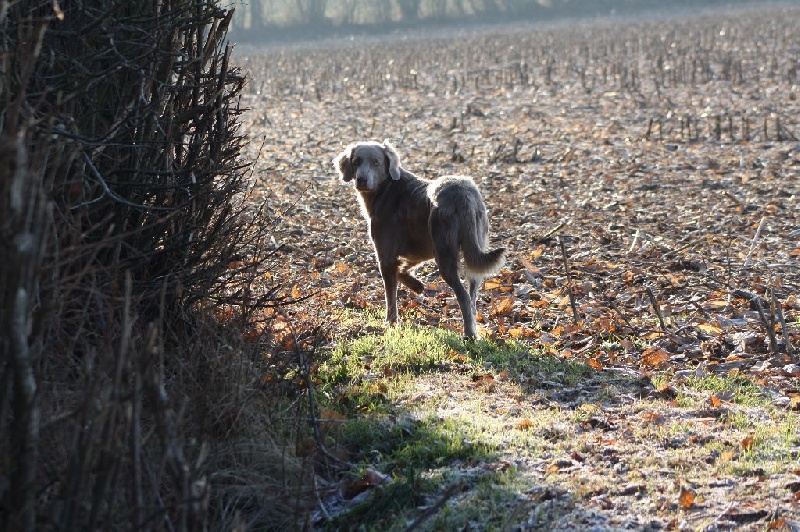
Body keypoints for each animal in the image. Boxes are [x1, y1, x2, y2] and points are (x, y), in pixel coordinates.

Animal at [332, 141, 506, 338]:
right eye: (356, 162)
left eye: (376, 162)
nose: (361, 179)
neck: (386, 189)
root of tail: (464, 195)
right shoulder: (421, 249)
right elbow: (403, 269)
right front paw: (416, 285)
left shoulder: (385, 256)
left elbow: (390, 295)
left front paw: (391, 322)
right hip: (472, 251)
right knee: (473, 297)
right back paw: (474, 330)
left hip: (445, 254)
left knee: (463, 296)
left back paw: (468, 335)